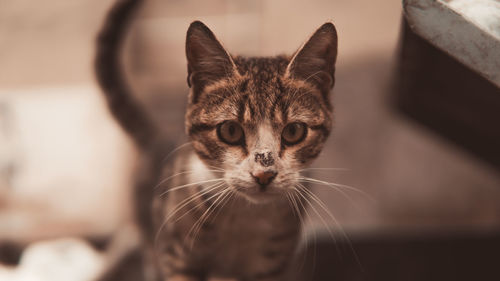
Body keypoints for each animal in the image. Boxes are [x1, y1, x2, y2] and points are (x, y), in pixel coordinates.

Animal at [95, 0, 338, 280]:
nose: (264, 174)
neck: (245, 216)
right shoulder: (176, 257)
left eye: (294, 131)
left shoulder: (272, 265)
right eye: (230, 130)